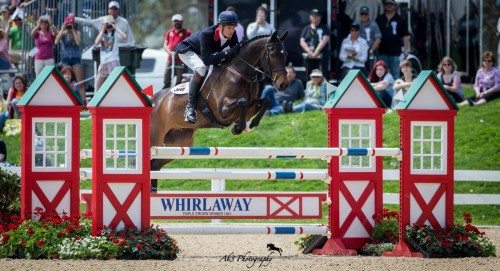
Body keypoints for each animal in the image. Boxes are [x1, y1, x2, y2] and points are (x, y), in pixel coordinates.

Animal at [148, 30, 290, 192]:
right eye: (272, 54)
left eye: (285, 53)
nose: (283, 84)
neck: (241, 72)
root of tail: (153, 100)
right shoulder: (222, 110)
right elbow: (242, 102)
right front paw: (238, 127)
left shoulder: (252, 104)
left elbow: (265, 101)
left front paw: (250, 125)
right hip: (155, 139)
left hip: (178, 142)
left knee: (155, 165)